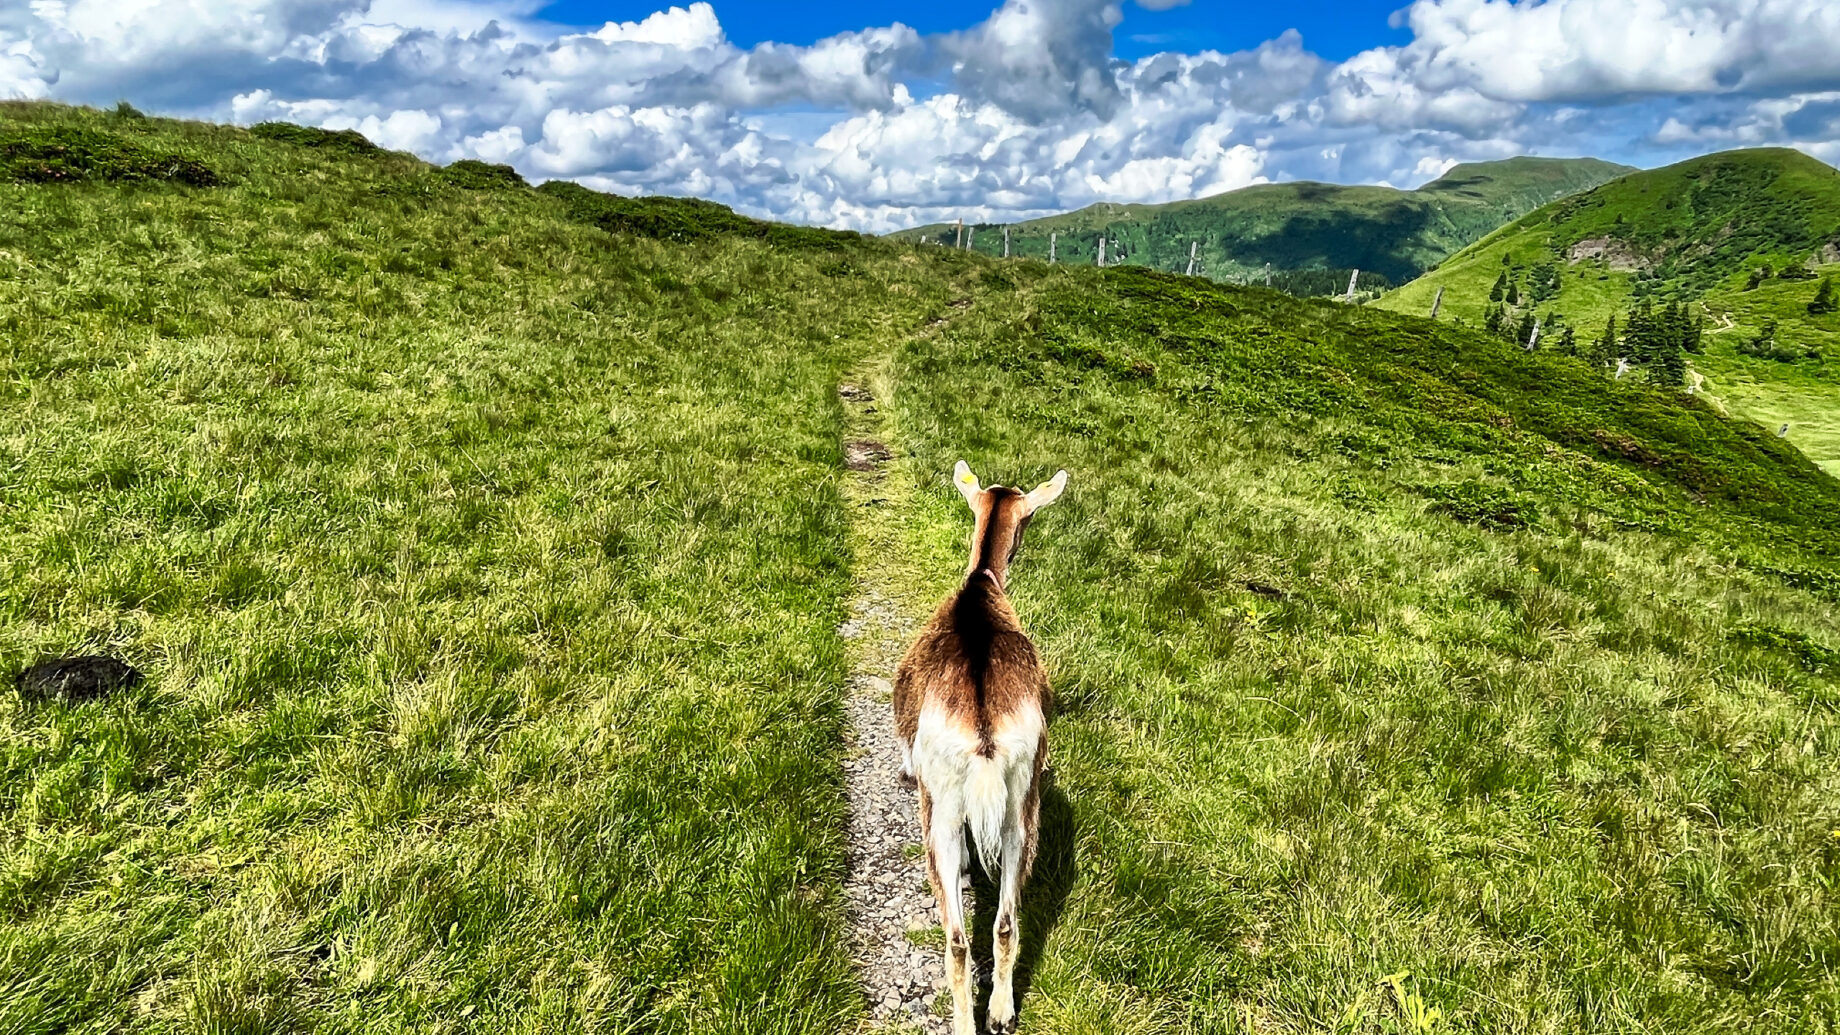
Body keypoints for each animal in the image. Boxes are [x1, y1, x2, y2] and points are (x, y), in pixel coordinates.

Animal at [890, 458, 1067, 1031]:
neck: (979, 586)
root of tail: (986, 738)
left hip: (941, 809)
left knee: (957, 939)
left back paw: (967, 1020)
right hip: (1022, 802)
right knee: (1007, 922)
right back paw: (1002, 1013)